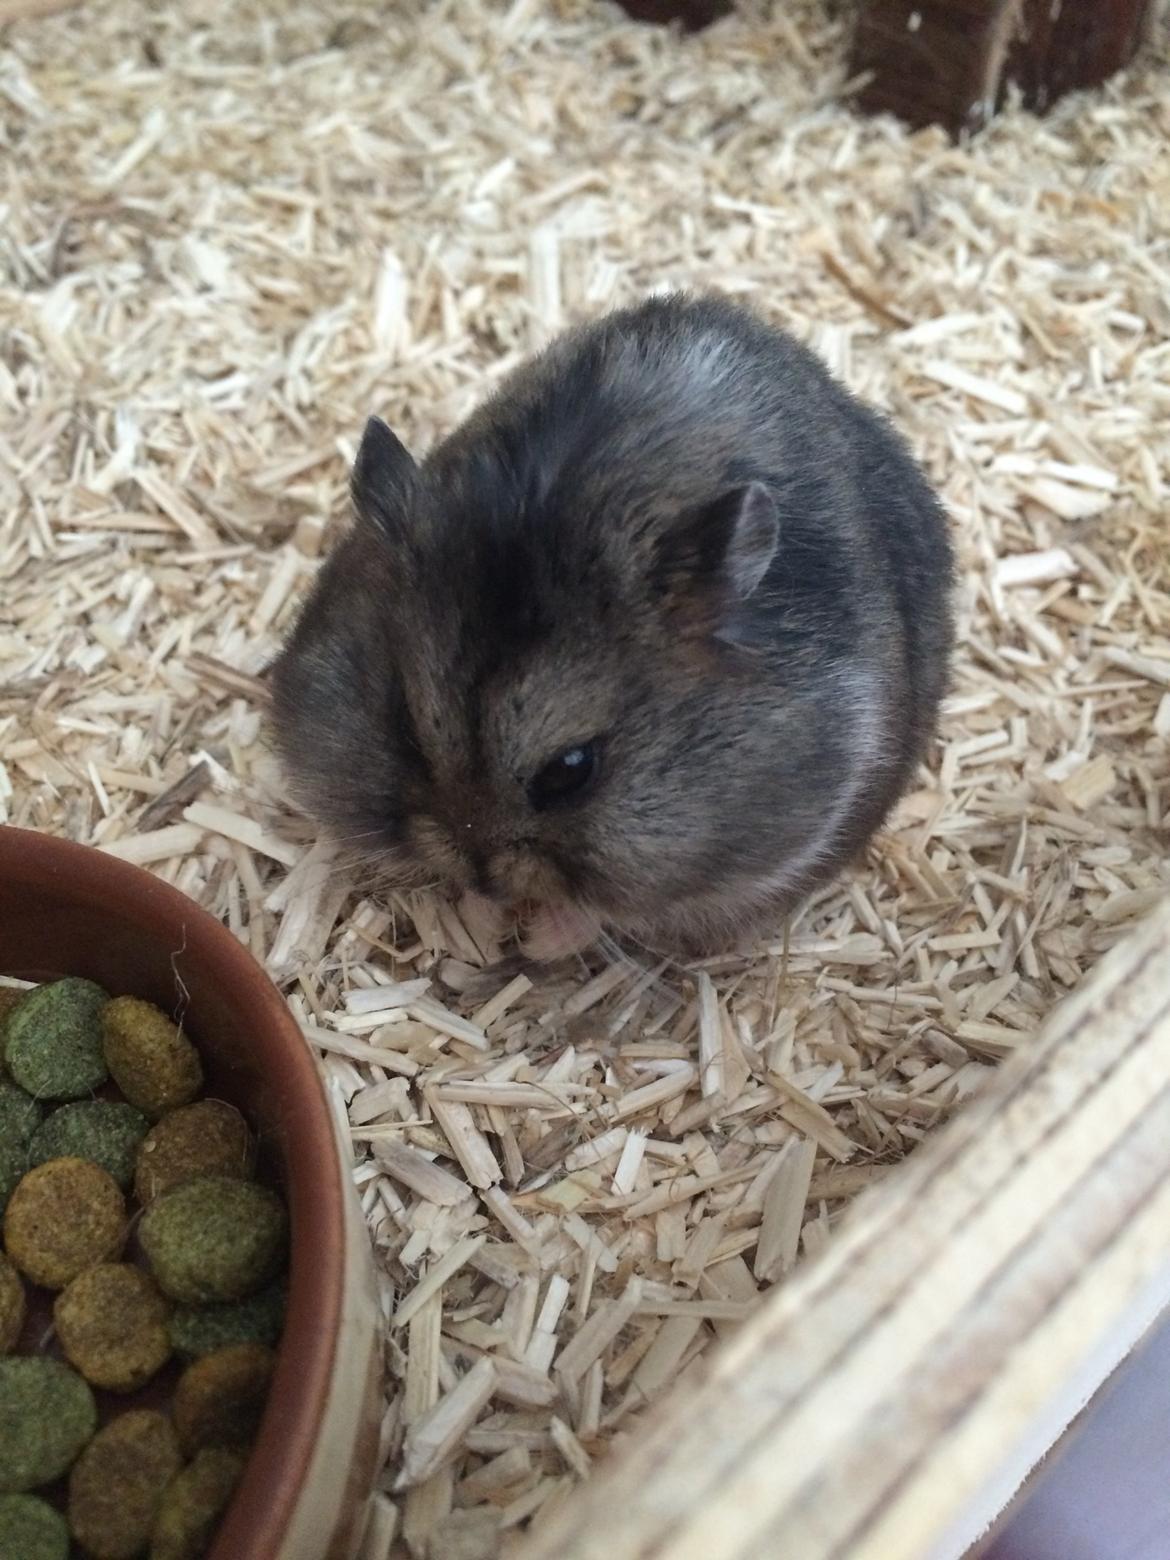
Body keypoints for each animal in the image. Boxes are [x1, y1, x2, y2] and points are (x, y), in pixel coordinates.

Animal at [270, 293, 954, 961]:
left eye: (571, 771)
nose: (482, 878)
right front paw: (485, 920)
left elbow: (599, 913)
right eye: (407, 728)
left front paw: (534, 936)